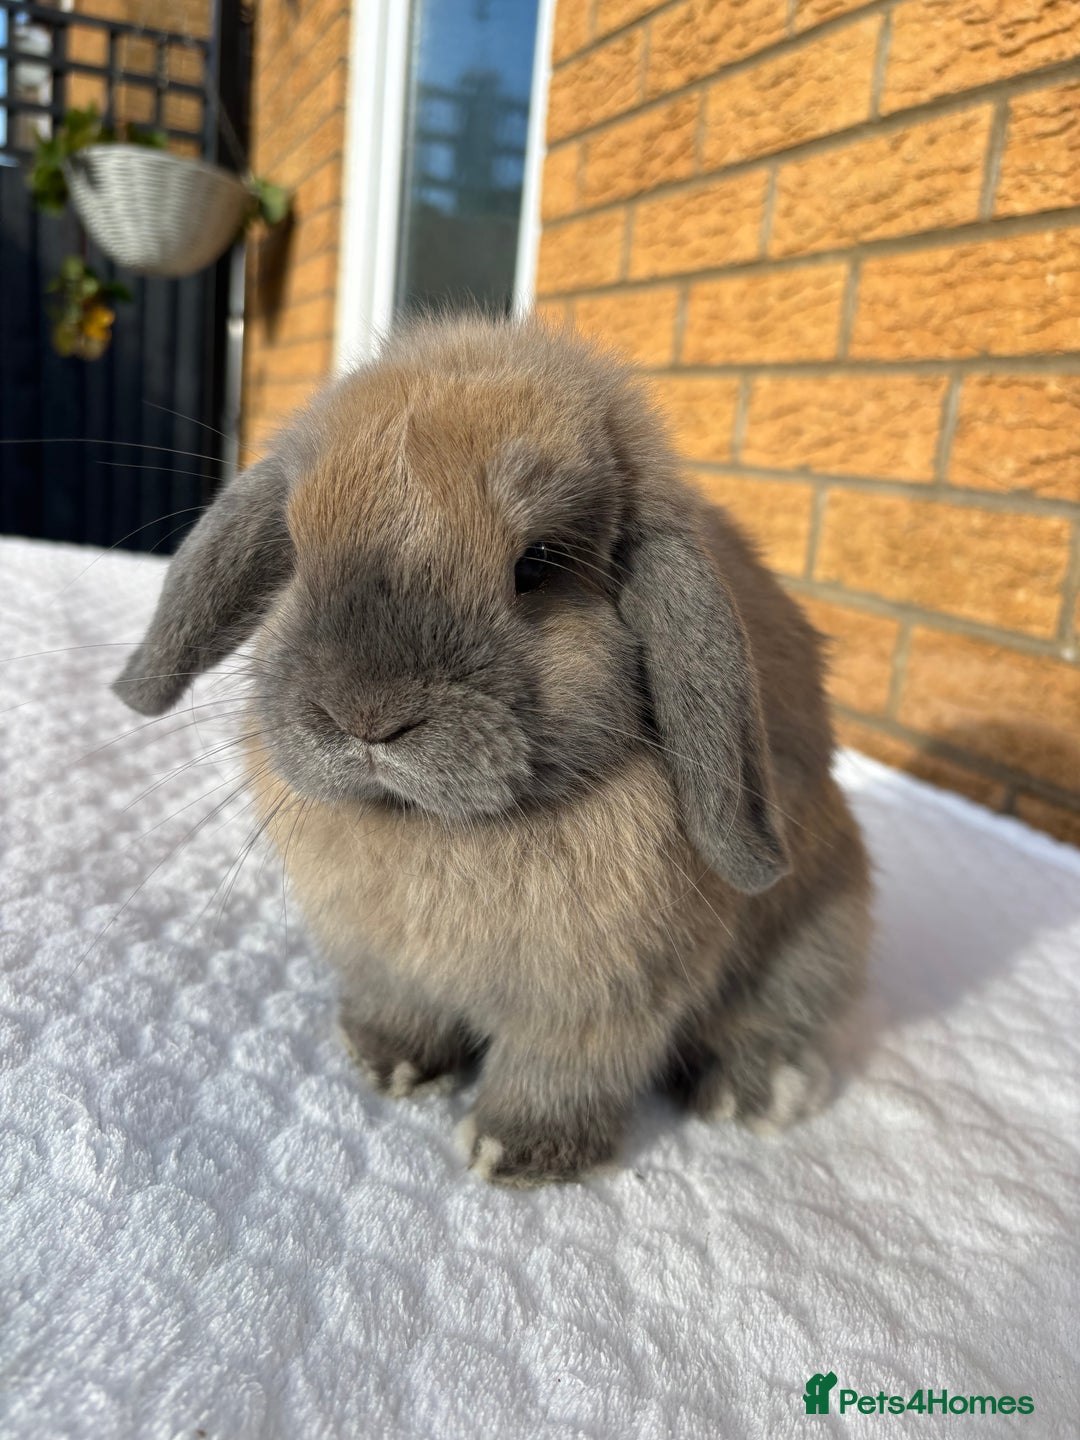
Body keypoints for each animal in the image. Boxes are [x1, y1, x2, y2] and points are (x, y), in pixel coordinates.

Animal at [113, 315, 872, 1187]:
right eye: (298, 551)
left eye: (536, 565)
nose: (365, 716)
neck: (434, 827)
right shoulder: (388, 963)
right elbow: (405, 1014)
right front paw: (387, 1064)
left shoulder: (602, 997)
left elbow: (562, 1069)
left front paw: (517, 1153)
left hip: (818, 938)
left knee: (773, 1023)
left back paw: (756, 1095)